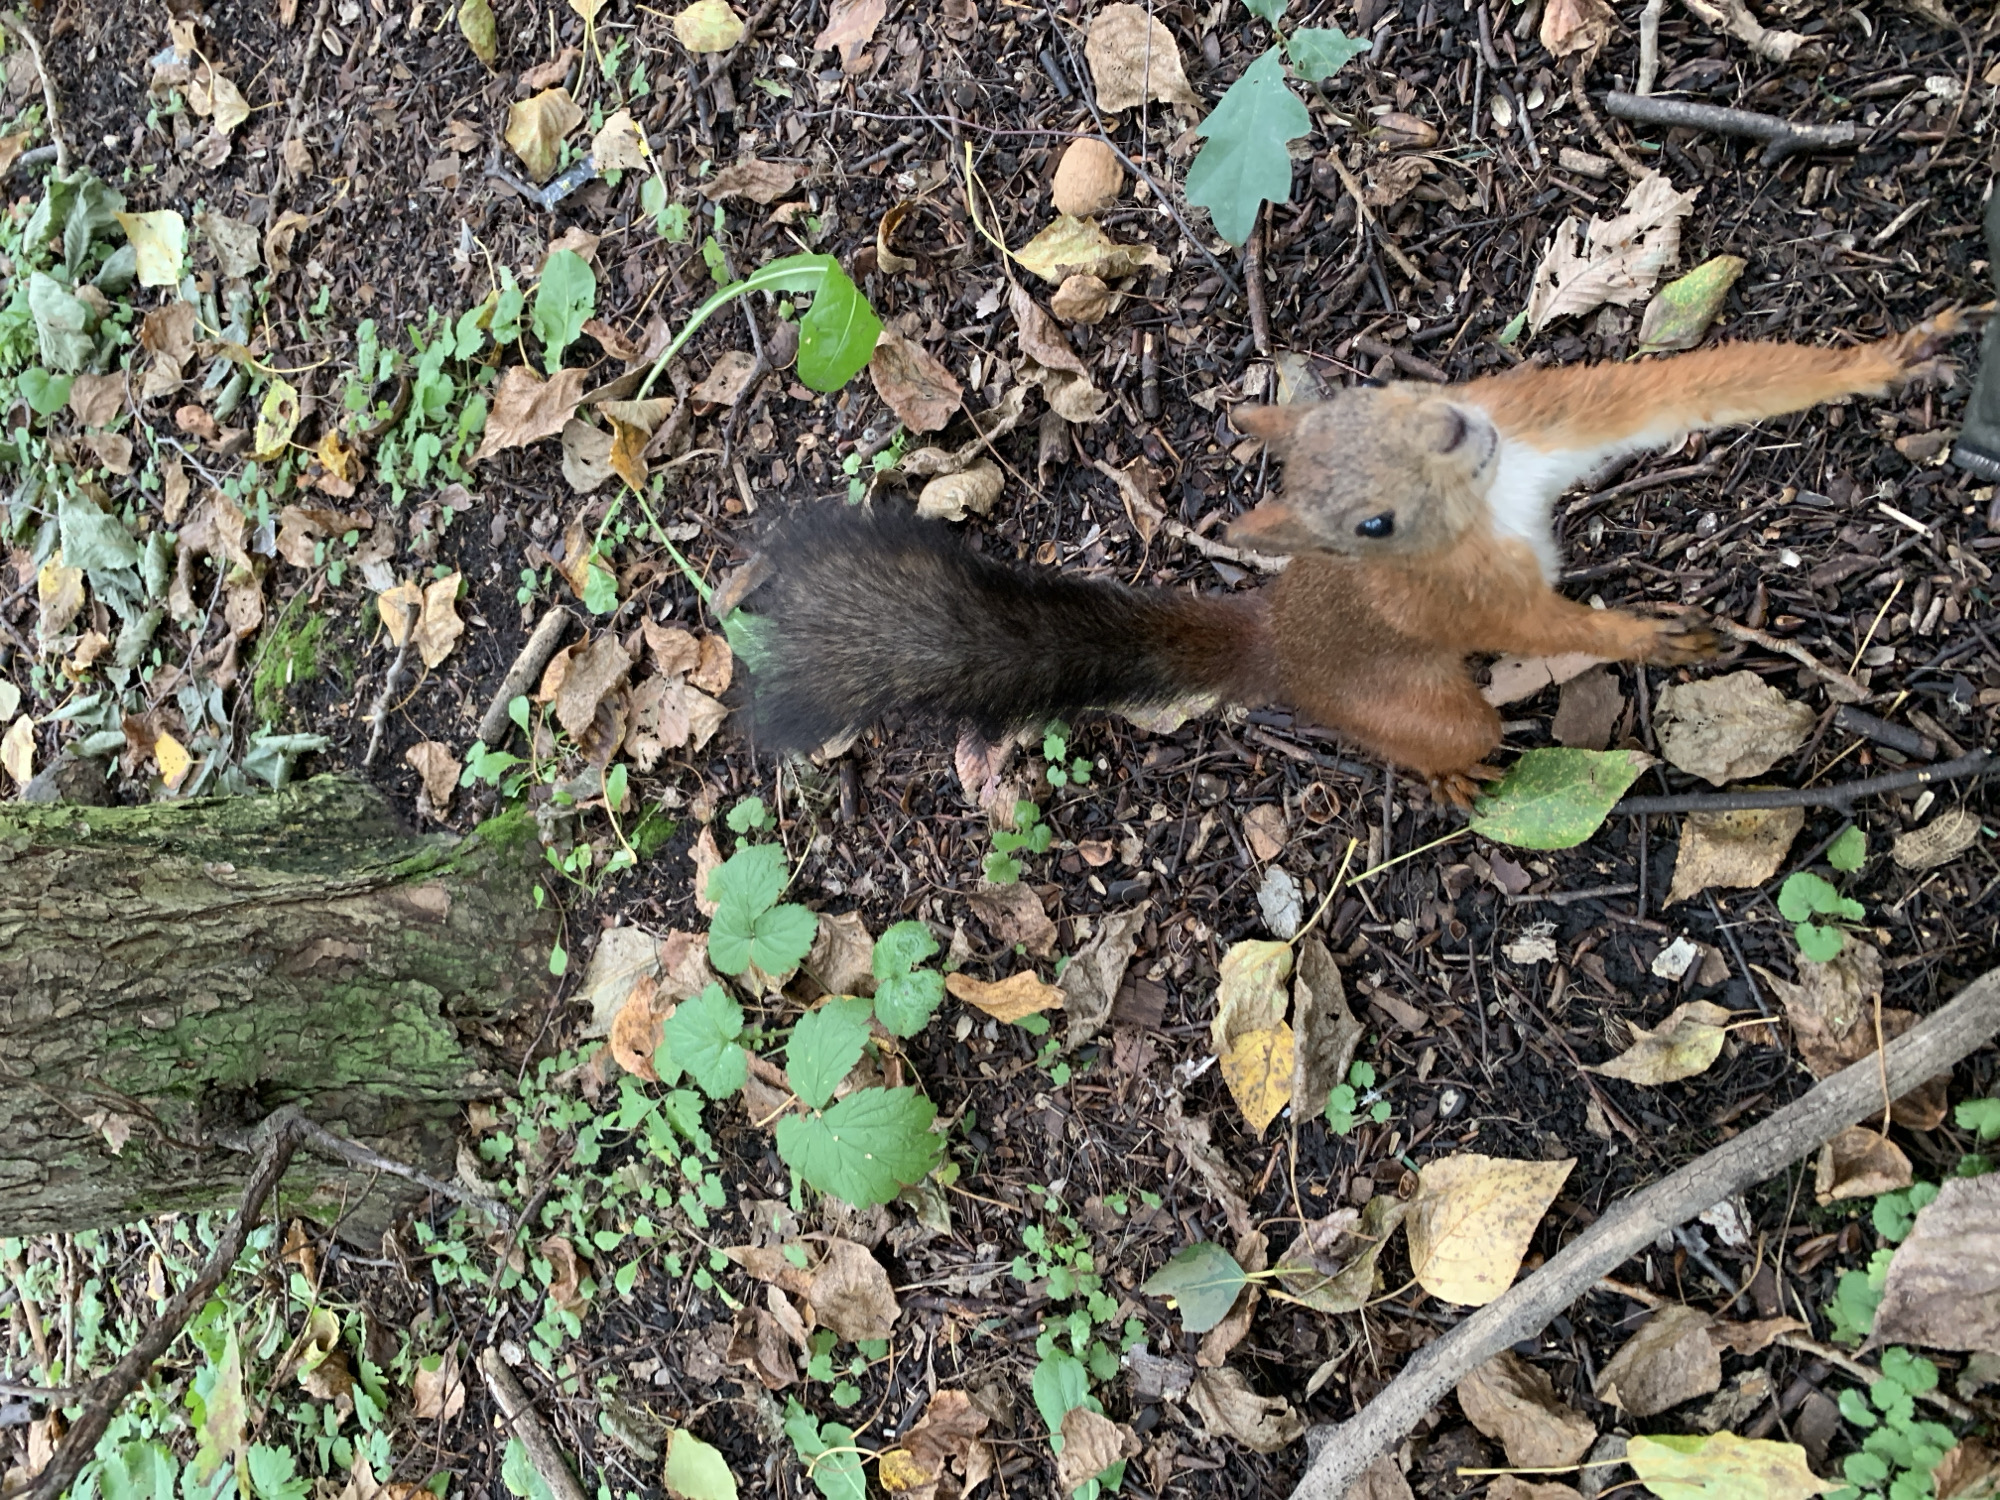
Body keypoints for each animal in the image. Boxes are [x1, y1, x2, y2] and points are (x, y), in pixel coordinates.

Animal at [747, 313, 1963, 799]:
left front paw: (1884, 361)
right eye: (1369, 528)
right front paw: (1647, 638)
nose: (1456, 432)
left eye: (1375, 395)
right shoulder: (1459, 597)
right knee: (1439, 735)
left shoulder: (1531, 417)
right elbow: (1531, 623)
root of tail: (1273, 649)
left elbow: (1683, 391)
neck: (1491, 492)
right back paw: (1457, 773)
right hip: (1410, 704)